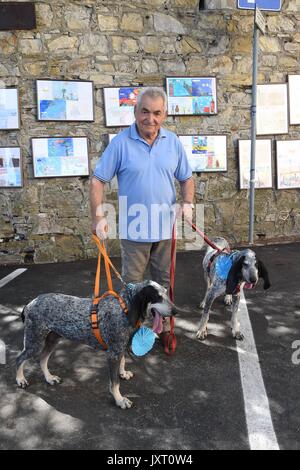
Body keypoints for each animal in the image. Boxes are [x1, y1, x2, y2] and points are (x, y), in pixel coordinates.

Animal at [16, 280, 178, 410]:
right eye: (157, 297)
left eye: (166, 293)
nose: (176, 311)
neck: (125, 308)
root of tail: (29, 304)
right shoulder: (113, 354)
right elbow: (115, 383)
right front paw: (119, 400)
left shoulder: (118, 349)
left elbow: (123, 362)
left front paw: (123, 373)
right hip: (34, 342)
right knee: (19, 359)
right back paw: (20, 380)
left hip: (52, 339)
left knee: (42, 359)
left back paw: (49, 378)